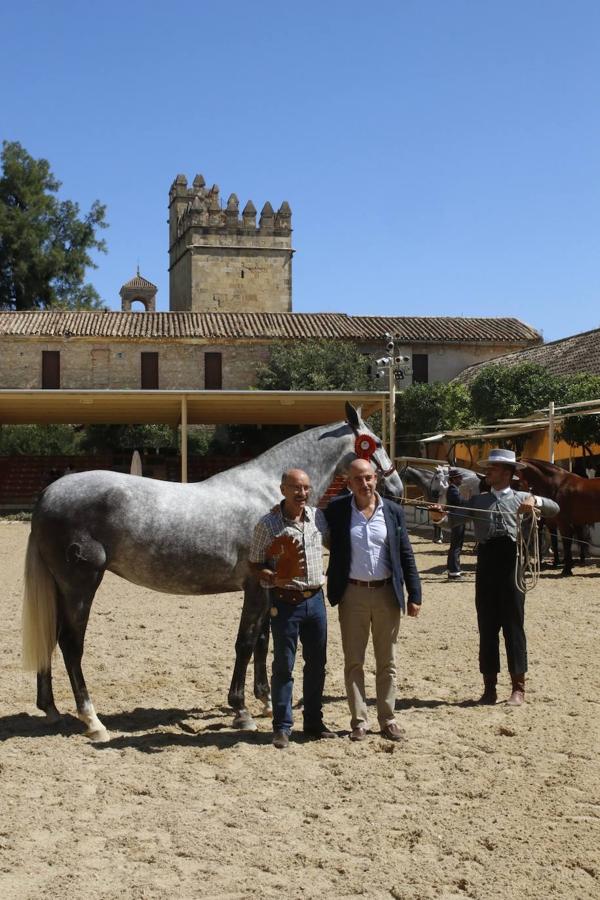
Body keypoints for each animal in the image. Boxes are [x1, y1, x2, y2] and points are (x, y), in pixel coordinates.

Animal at [23, 404, 400, 740]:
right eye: (376, 443)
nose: (395, 487)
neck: (268, 495)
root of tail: (50, 493)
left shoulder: (267, 588)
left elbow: (262, 640)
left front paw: (264, 700)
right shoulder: (256, 585)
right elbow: (246, 642)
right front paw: (241, 710)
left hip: (61, 587)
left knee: (50, 636)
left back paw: (51, 709)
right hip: (81, 585)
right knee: (70, 643)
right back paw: (92, 720)